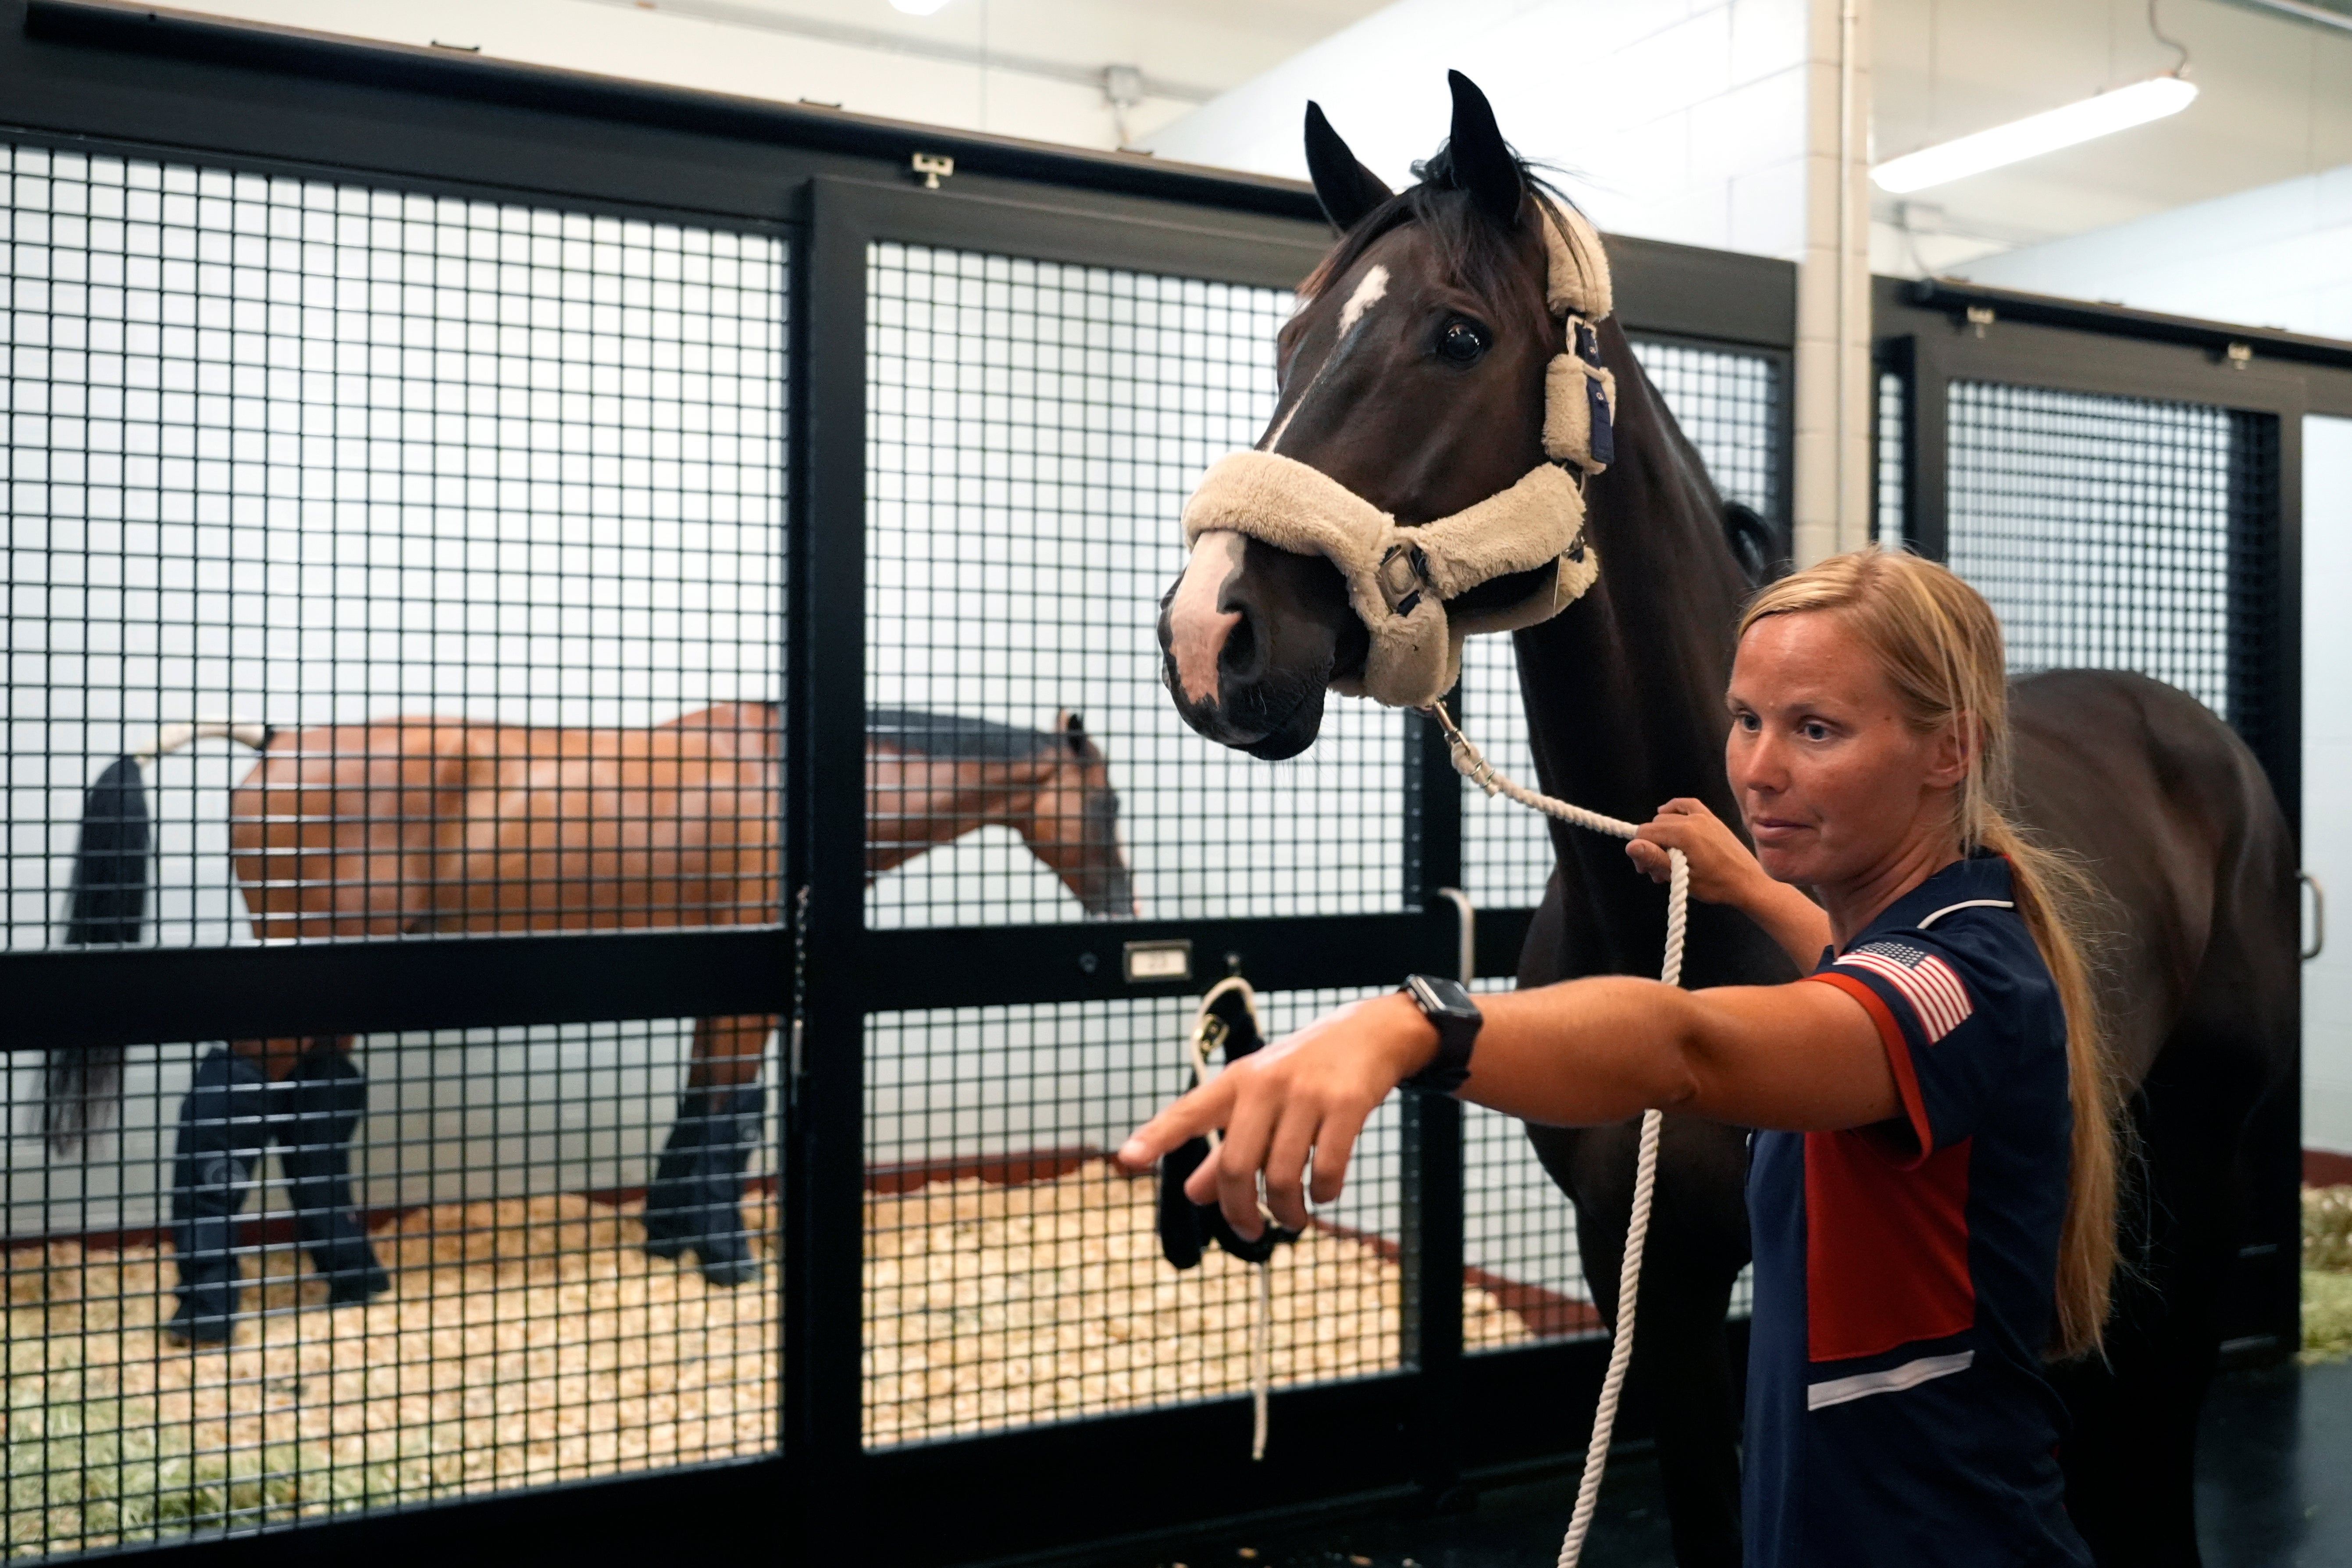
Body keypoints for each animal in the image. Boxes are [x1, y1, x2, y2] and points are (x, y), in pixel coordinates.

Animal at [46, 705, 1129, 1344]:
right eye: (1112, 803)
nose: (1125, 905)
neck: (789, 777)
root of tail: (273, 742)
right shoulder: (747, 999)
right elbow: (728, 1119)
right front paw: (726, 1257)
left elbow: (700, 1109)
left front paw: (667, 1236)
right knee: (226, 1111)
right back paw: (206, 1311)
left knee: (315, 1123)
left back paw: (356, 1281)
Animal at [1157, 76, 2295, 1568]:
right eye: (1292, 339)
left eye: (1457, 335)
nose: (1210, 632)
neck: (1677, 928)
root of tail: (2193, 732)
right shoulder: (1649, 1269)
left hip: (2207, 1157)